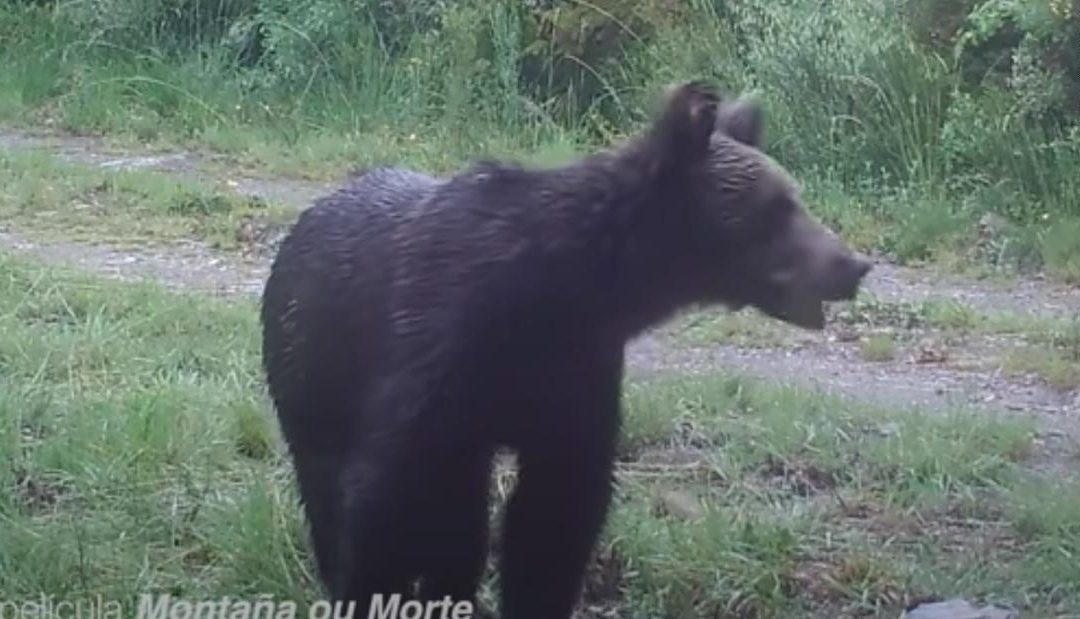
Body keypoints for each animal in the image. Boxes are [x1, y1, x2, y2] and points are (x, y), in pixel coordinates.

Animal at [259, 81, 868, 617]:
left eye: (795, 198)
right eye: (776, 208)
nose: (854, 264)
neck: (567, 287)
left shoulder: (574, 369)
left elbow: (554, 518)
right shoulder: (434, 355)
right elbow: (382, 501)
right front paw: (369, 590)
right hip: (310, 385)